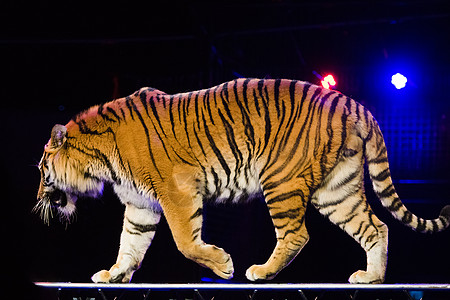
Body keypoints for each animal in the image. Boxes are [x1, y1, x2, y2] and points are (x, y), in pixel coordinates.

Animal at [36, 77, 450, 284]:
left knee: (297, 235)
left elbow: (185, 241)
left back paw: (262, 272)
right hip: (337, 190)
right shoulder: (141, 205)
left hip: (282, 181)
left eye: (41, 170)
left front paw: (222, 265)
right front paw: (115, 273)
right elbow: (130, 244)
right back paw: (373, 277)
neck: (99, 159)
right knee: (376, 227)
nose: (38, 197)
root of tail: (354, 104)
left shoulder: (177, 190)